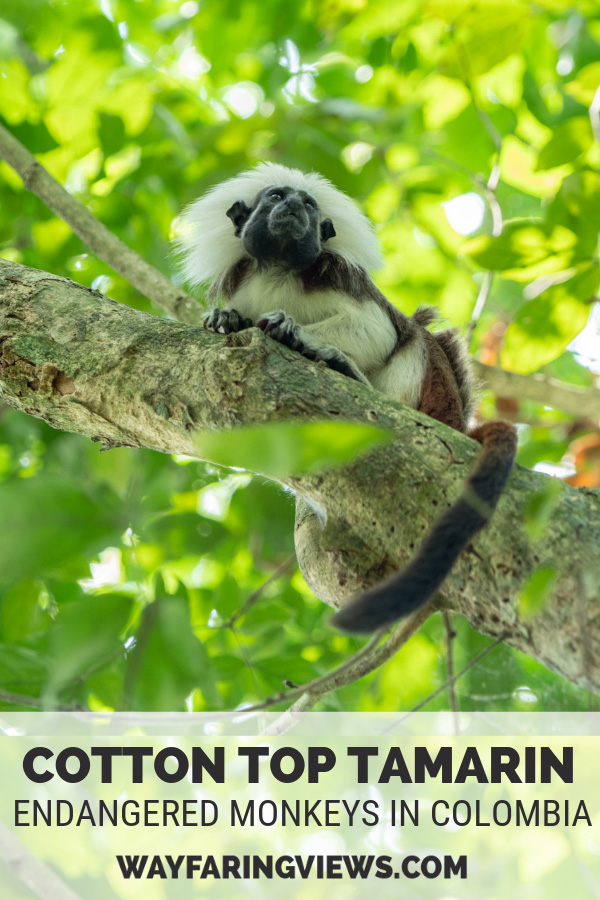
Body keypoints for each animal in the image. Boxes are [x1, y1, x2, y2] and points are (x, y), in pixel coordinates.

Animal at [178, 162, 517, 633]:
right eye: (276, 196)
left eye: (308, 204)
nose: (292, 206)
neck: (278, 270)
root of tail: (455, 420)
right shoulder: (244, 281)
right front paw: (225, 318)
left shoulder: (337, 274)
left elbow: (376, 330)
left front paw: (295, 330)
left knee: (416, 337)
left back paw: (344, 367)